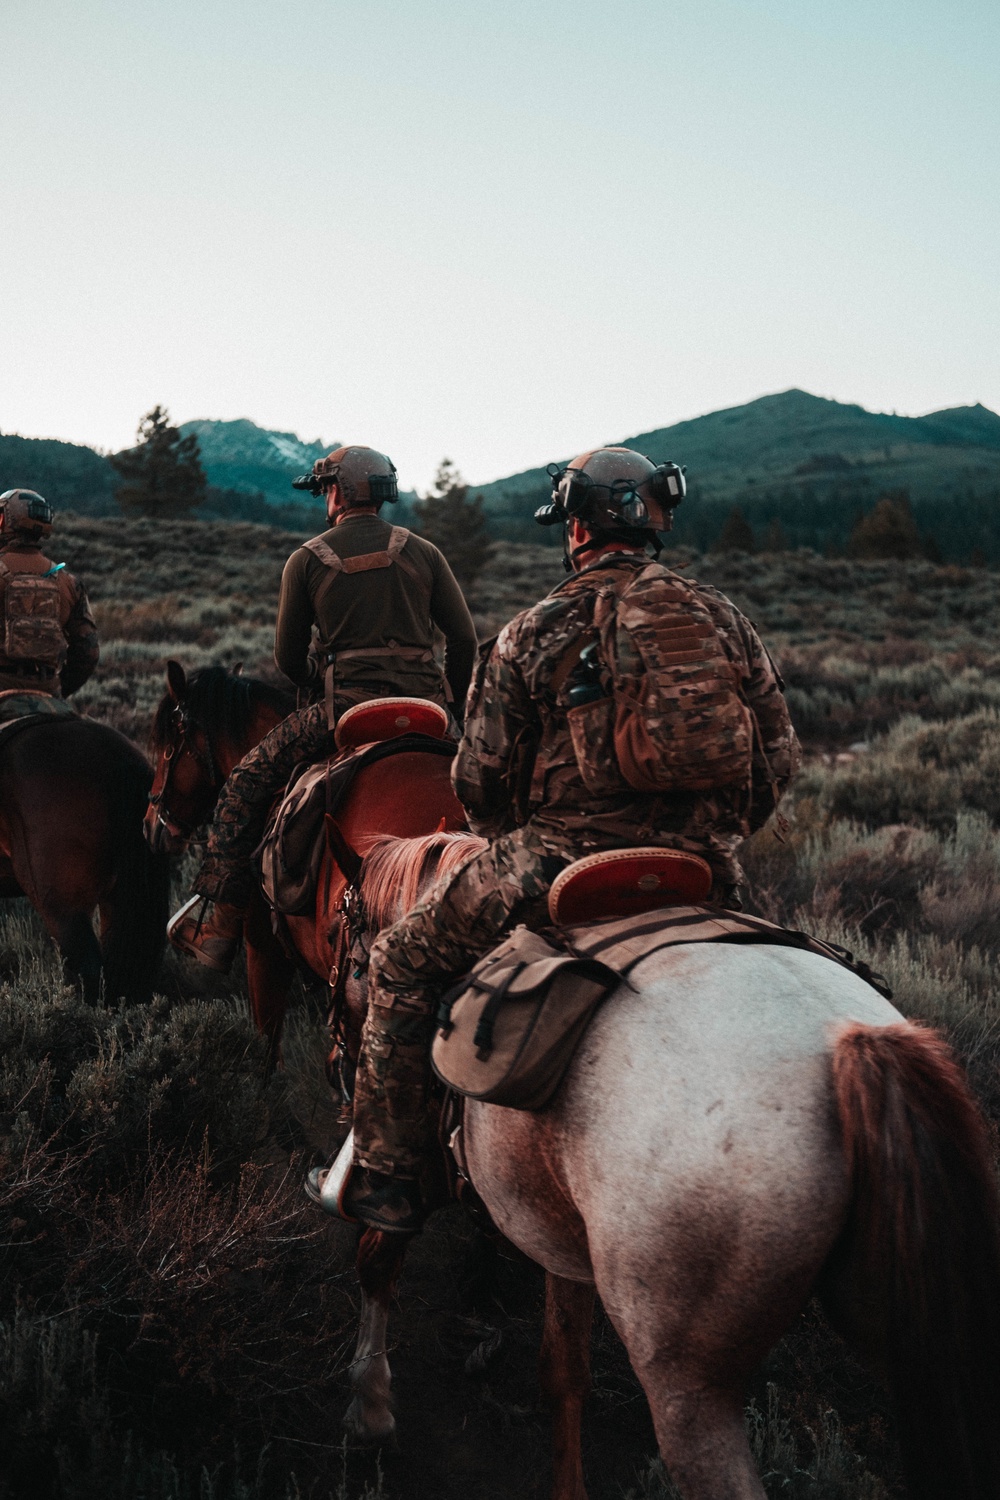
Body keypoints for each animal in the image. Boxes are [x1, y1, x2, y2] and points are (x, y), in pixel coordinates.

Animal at [334, 834, 1000, 1500]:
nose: (341, 1055)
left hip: (688, 1386)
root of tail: (852, 1045)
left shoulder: (419, 1174)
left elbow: (377, 1257)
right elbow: (563, 1371)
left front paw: (370, 1408)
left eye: (351, 946)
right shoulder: (563, 1244)